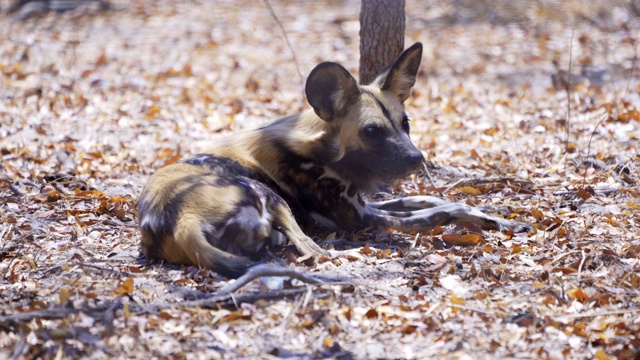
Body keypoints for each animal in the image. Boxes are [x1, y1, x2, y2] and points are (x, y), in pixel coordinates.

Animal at [136, 42, 528, 278]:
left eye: (405, 124)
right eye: (372, 131)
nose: (417, 158)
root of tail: (179, 217)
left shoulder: (364, 200)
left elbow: (433, 199)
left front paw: (496, 215)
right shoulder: (361, 217)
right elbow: (440, 211)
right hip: (269, 196)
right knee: (309, 249)